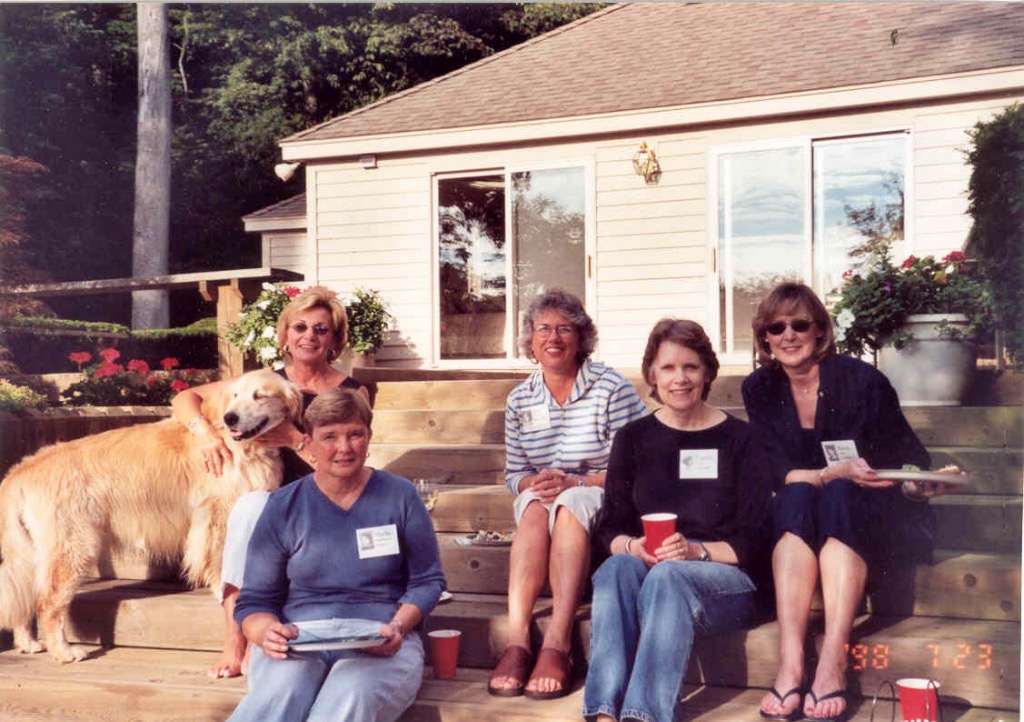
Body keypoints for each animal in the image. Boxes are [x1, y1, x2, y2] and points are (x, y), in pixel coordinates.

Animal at [0, 368, 301, 663]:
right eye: (236, 396)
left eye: (259, 395)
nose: (231, 418)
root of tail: (22, 470)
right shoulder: (218, 515)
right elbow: (219, 563)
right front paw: (225, 594)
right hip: (74, 547)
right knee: (48, 602)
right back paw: (63, 651)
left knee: (26, 596)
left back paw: (28, 643)